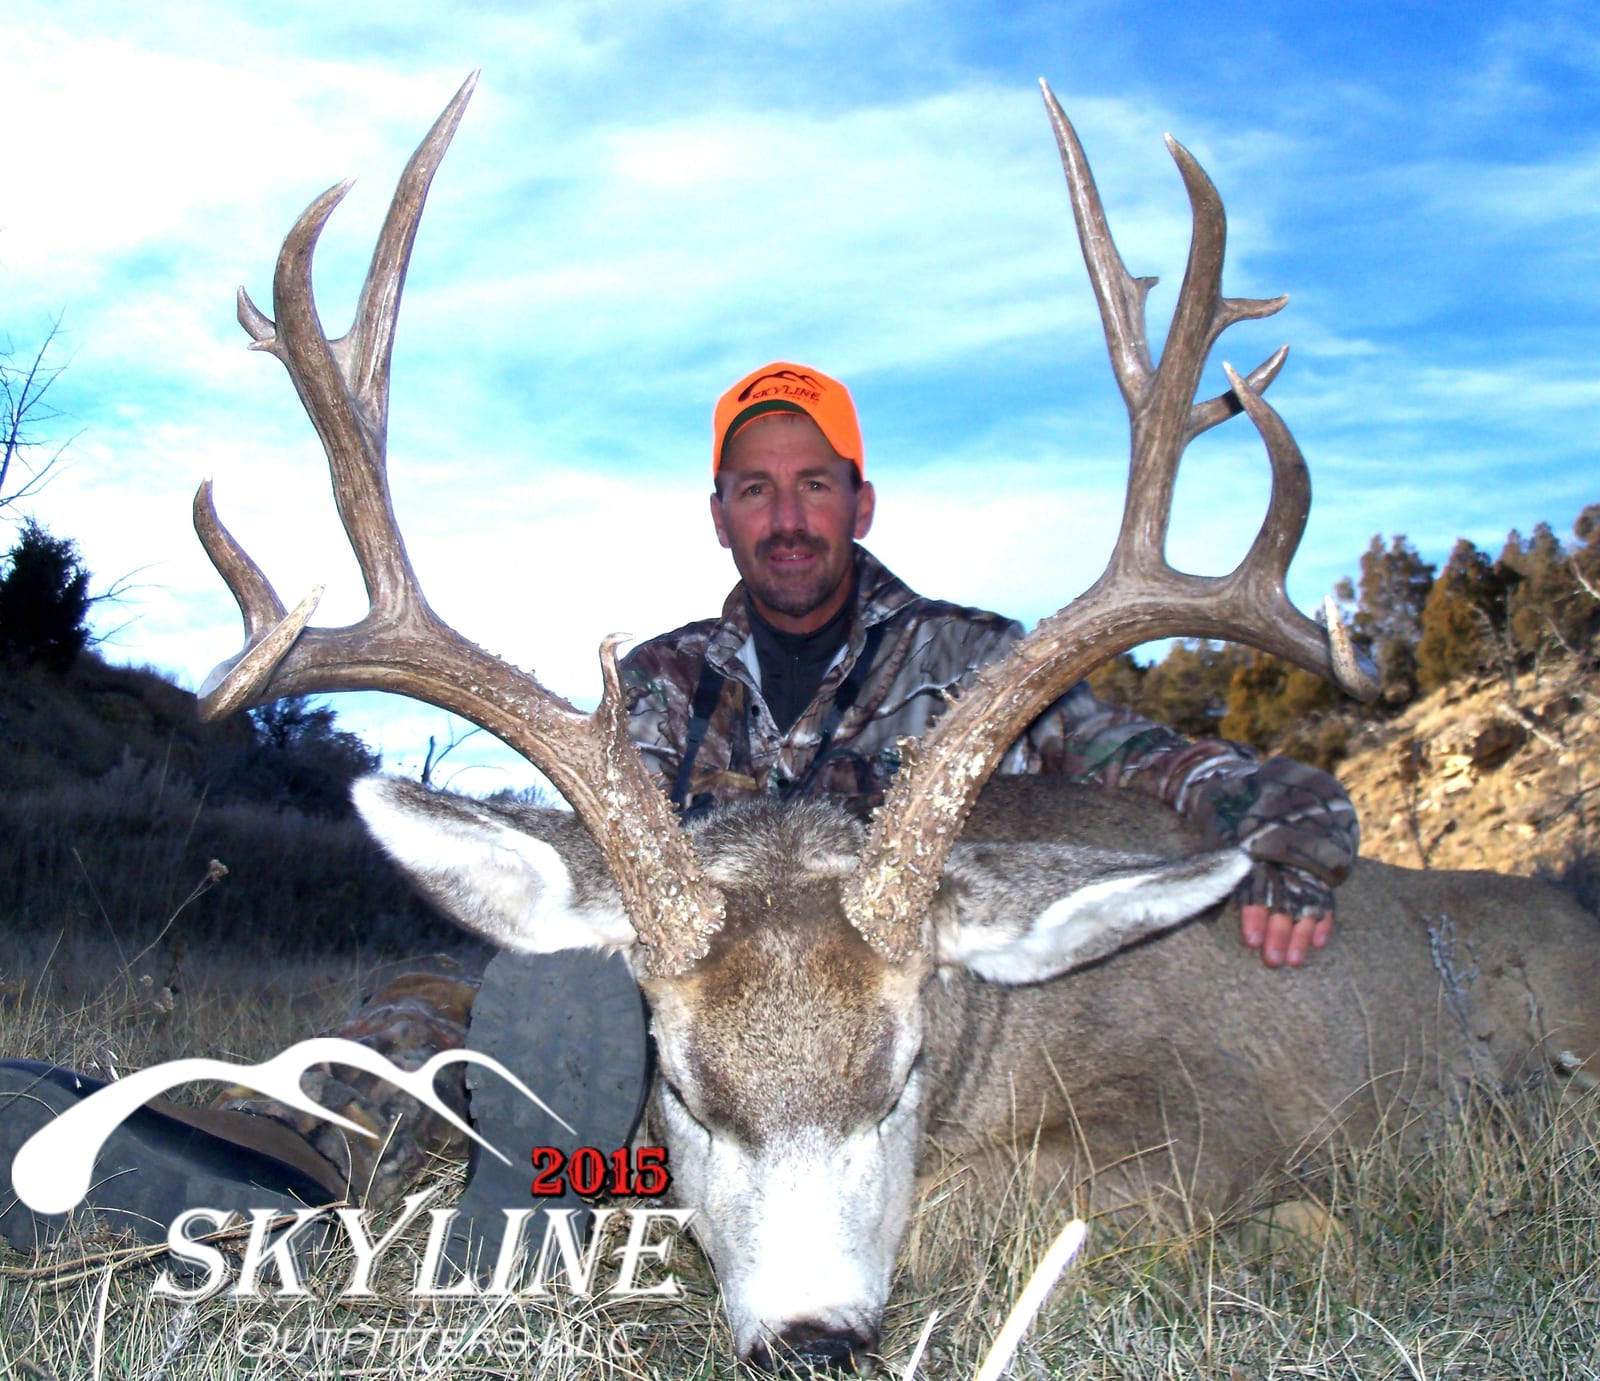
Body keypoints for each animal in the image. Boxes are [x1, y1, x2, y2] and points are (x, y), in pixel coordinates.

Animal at [193, 73, 1600, 1372]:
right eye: (683, 1085)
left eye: (903, 1069)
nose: (811, 1336)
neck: (1013, 1028)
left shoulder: (1218, 1113)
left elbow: (979, 1206)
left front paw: (1308, 1228)